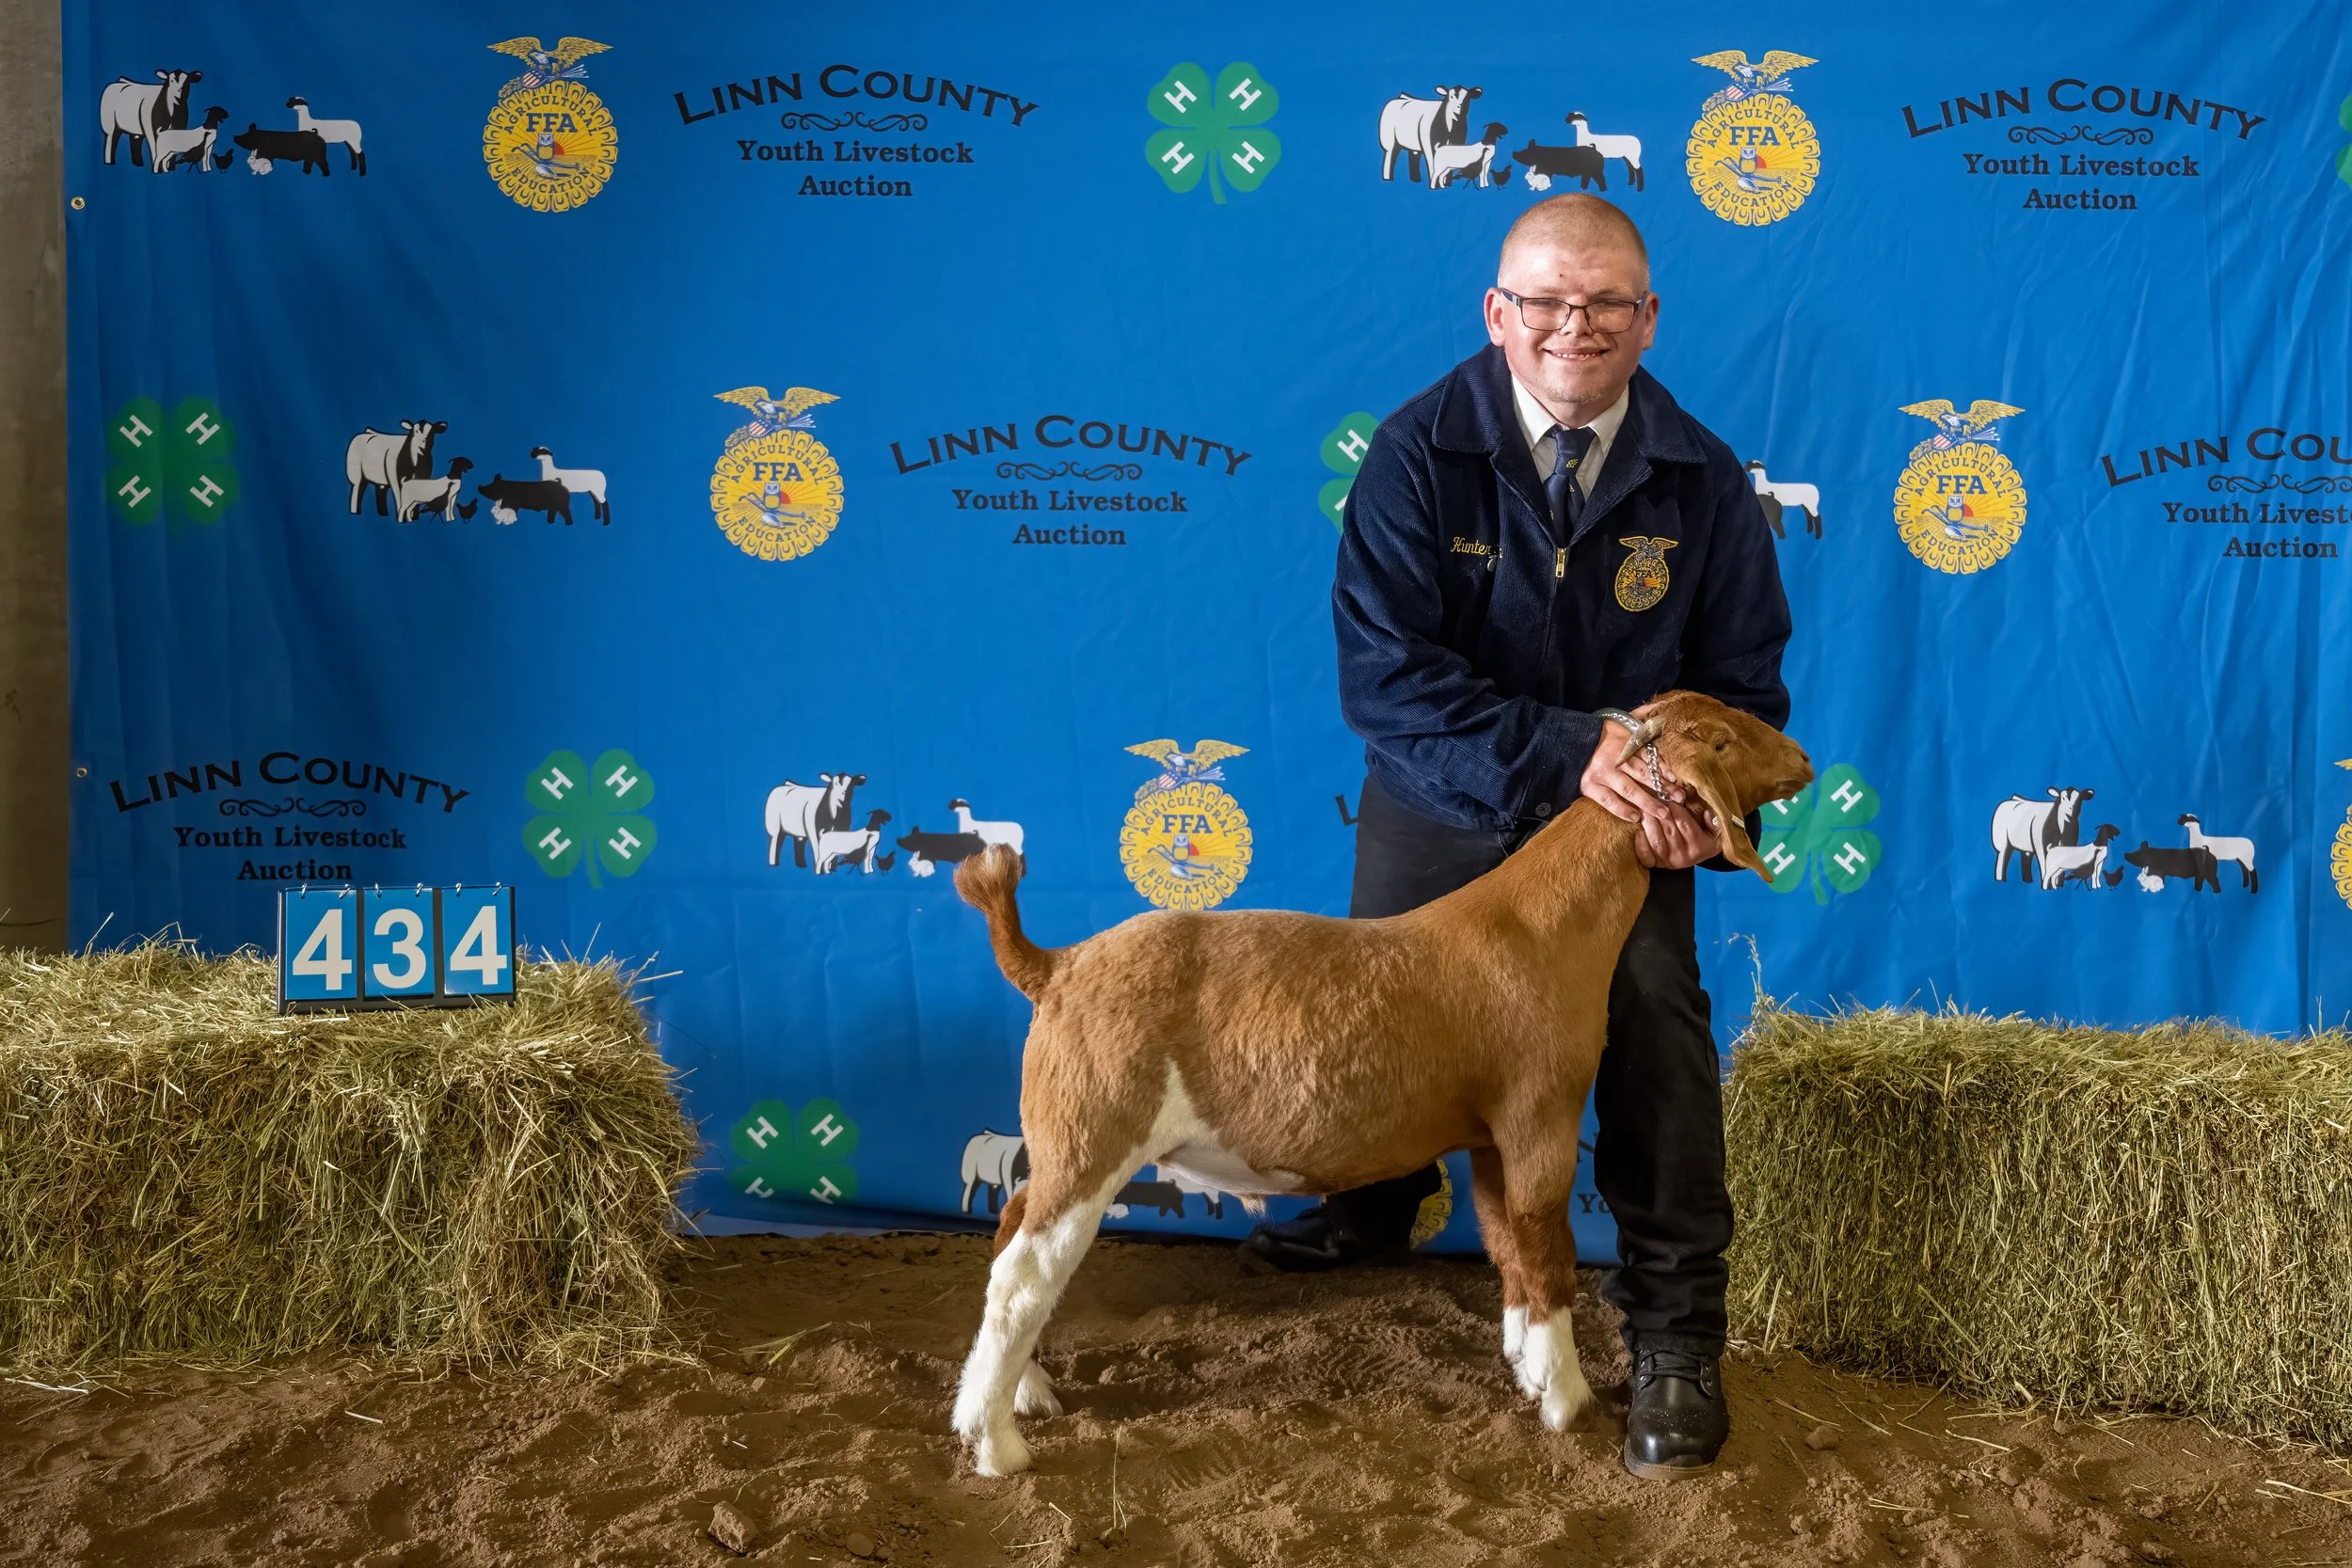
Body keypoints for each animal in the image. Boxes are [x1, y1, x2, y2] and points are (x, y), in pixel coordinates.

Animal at [946, 690, 1811, 1476]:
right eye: (1725, 739)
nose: (1804, 759)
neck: (1542, 928)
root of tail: (1055, 963)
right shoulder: (1542, 1113)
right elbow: (1546, 1245)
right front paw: (1567, 1400)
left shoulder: (1489, 1133)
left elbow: (1505, 1242)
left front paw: (1528, 1368)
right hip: (1092, 1133)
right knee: (1021, 1276)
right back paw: (996, 1443)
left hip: (1060, 1139)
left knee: (1008, 1232)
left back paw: (1029, 1391)